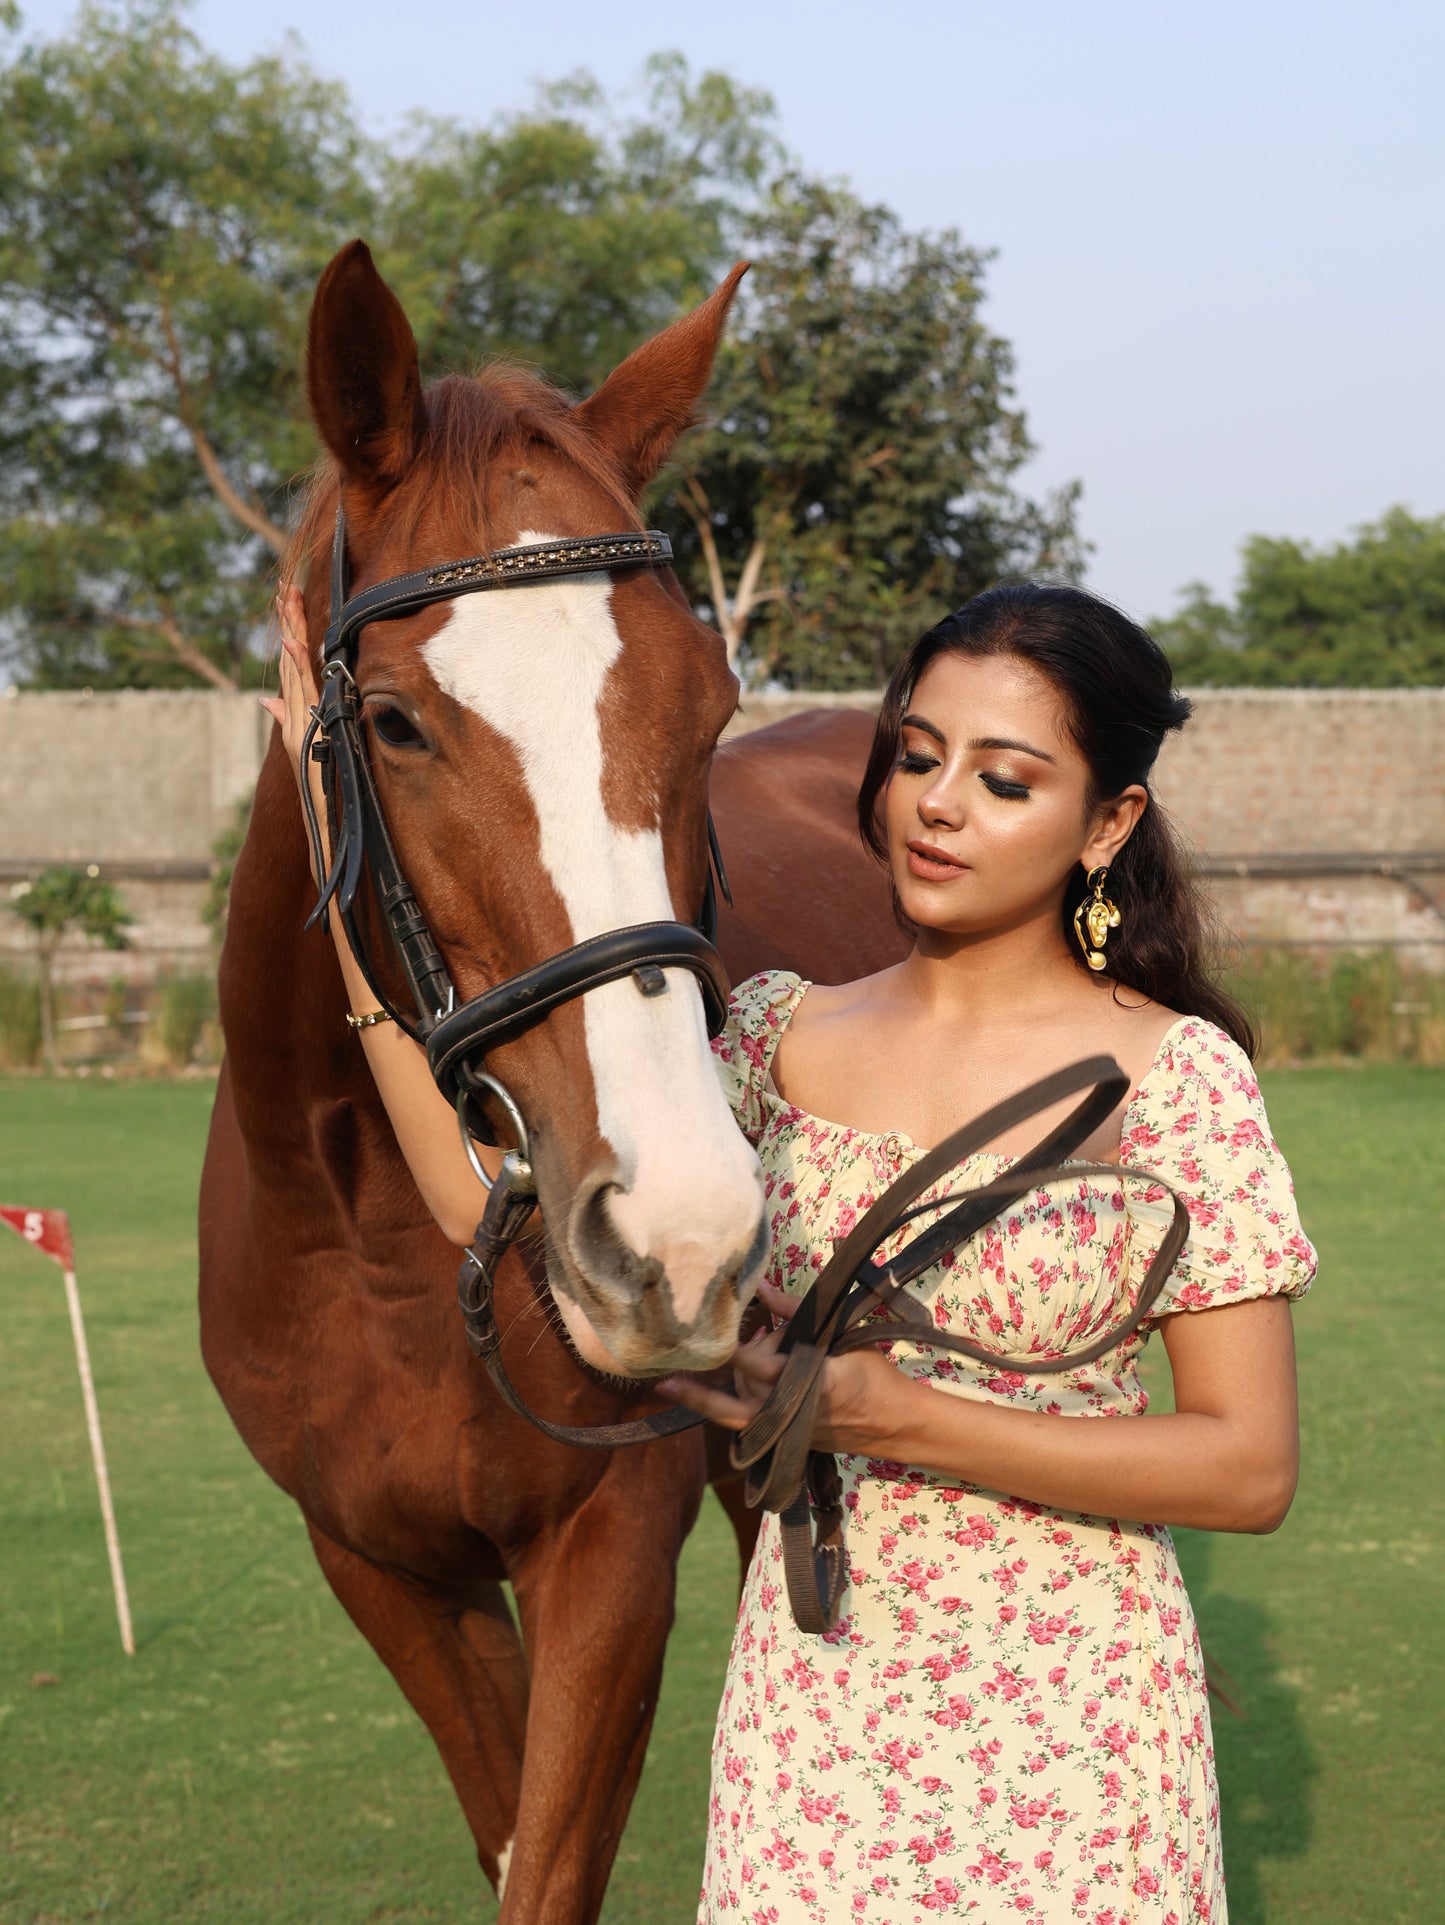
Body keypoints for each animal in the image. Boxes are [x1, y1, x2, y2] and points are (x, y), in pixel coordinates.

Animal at [198, 244, 904, 1925]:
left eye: (706, 703)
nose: (682, 1240)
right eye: (393, 721)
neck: (377, 1240)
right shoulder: (384, 1569)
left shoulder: (603, 1550)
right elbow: (508, 1833)